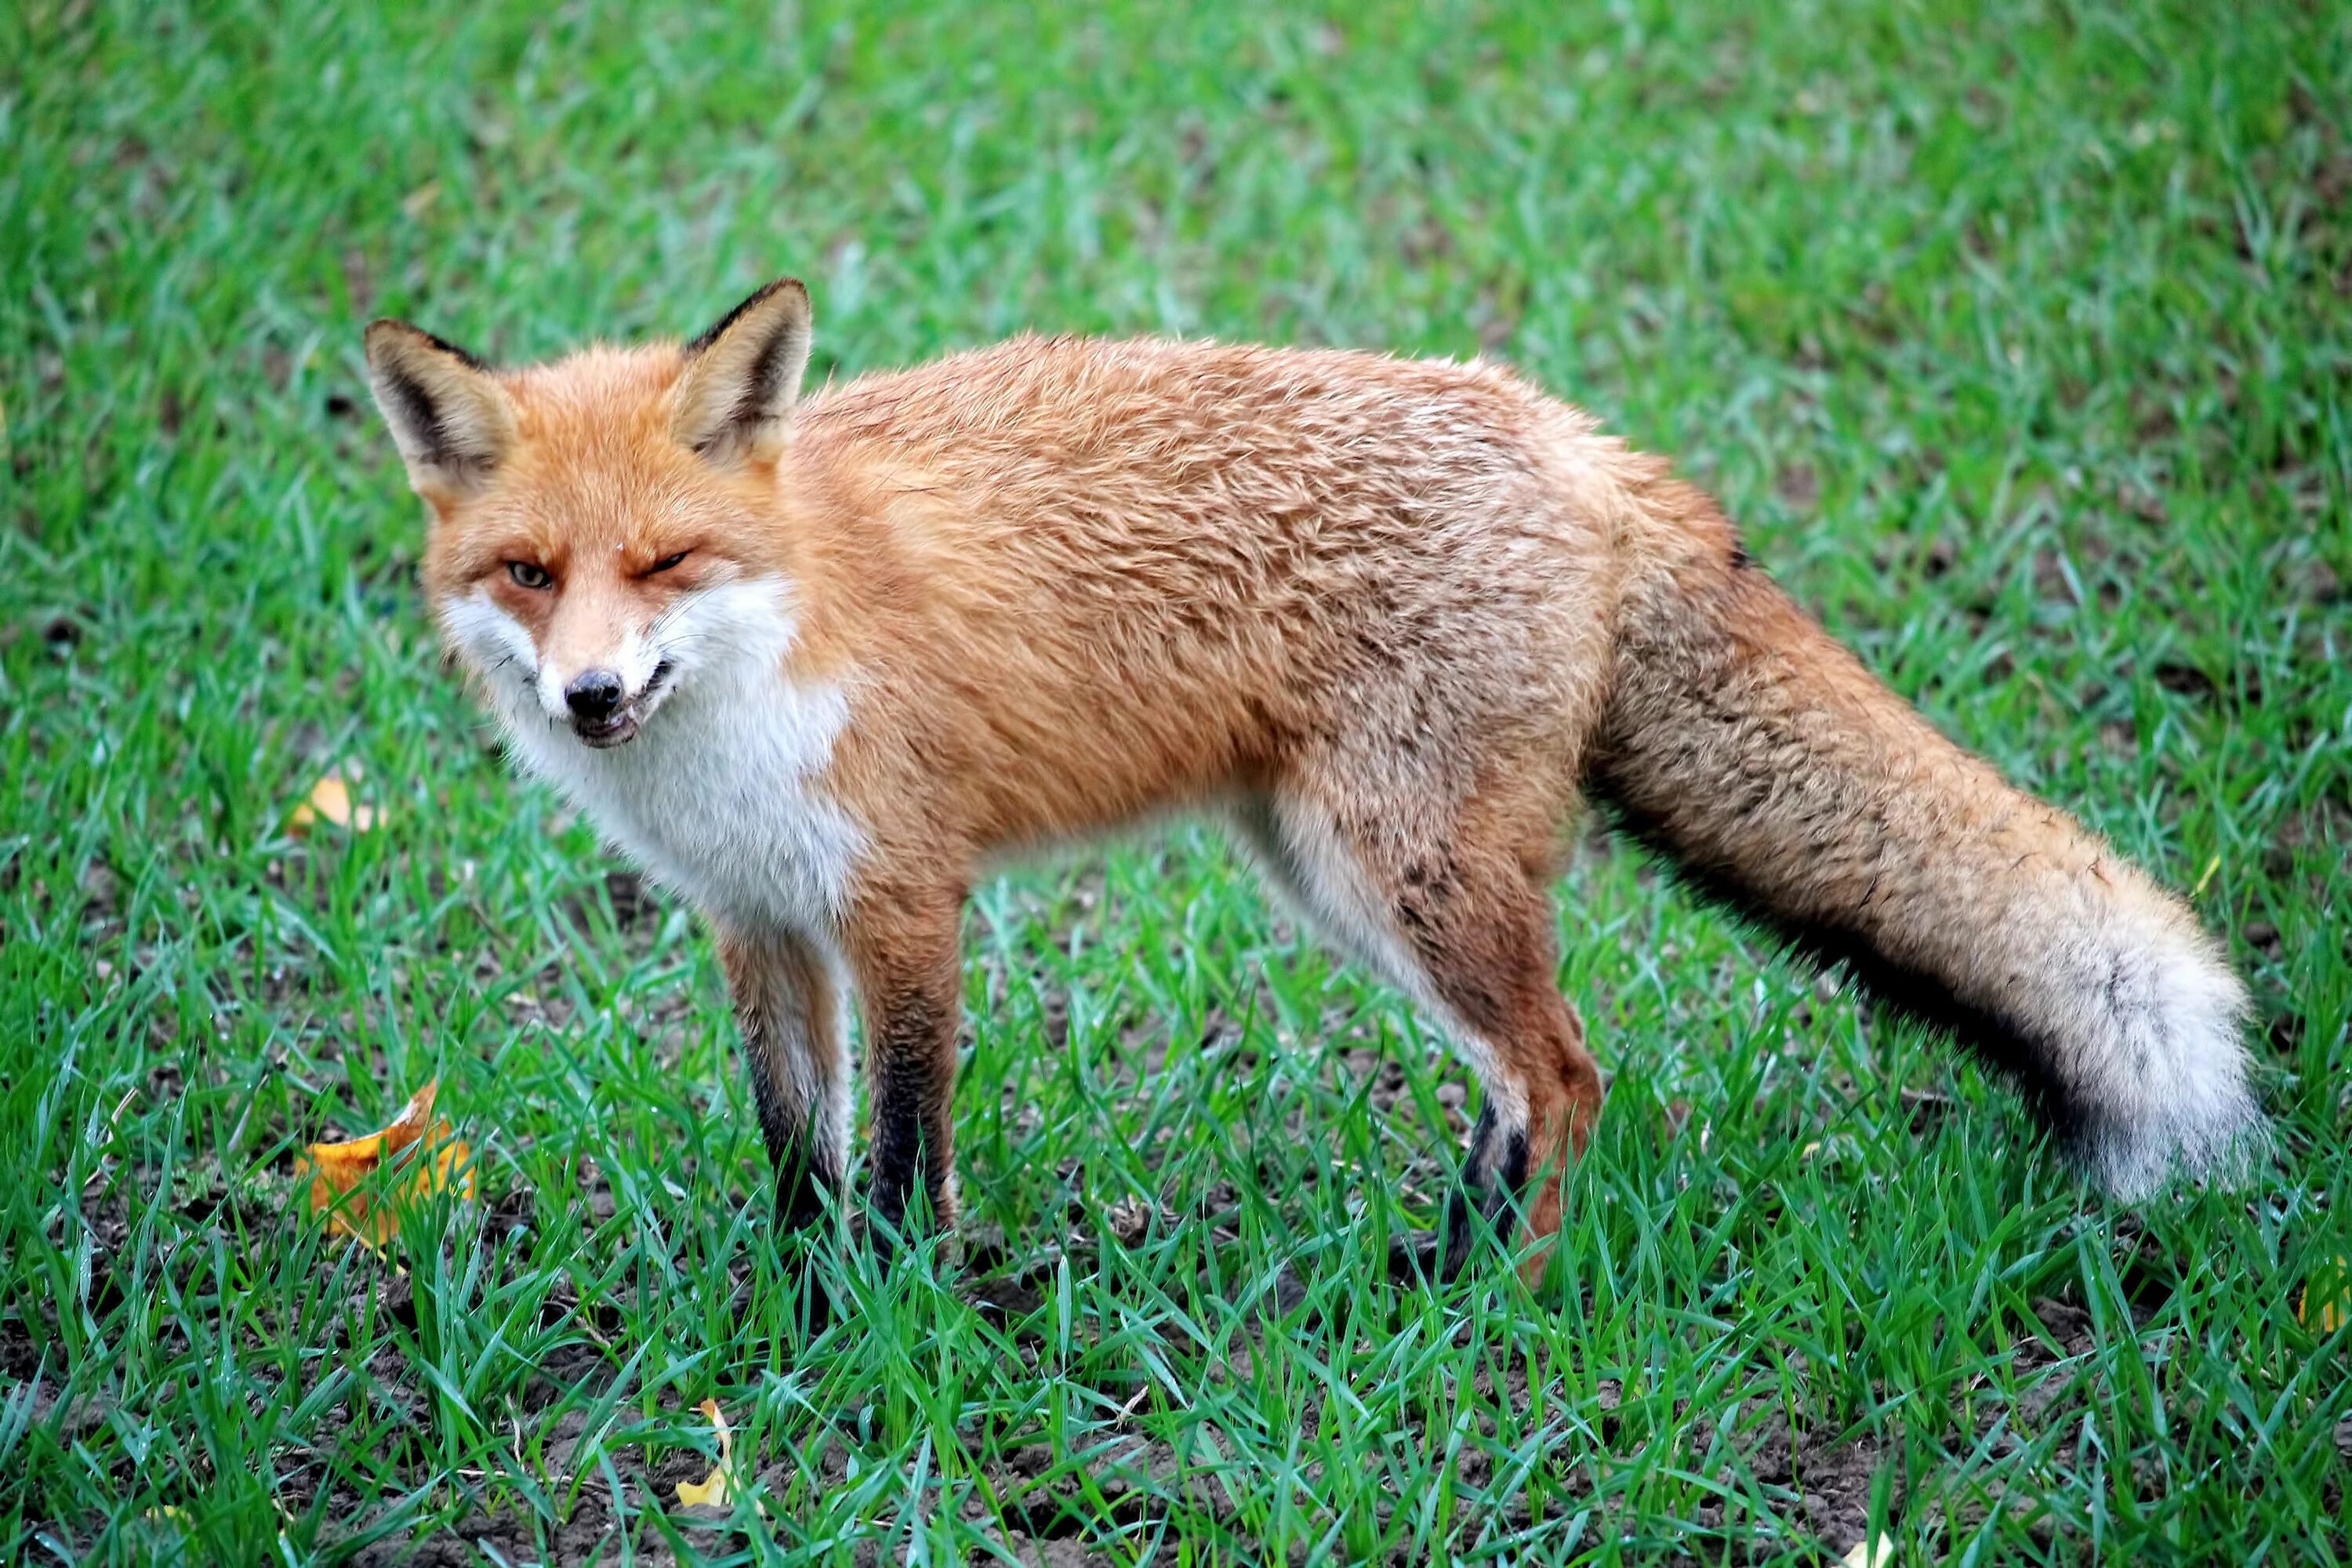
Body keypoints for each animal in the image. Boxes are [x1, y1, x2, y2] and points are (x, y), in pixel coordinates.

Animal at [362, 281, 2258, 1279]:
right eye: (529, 574)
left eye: (666, 562)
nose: (592, 695)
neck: (757, 673)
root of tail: (1574, 434)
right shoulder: (760, 920)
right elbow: (793, 1146)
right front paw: (801, 1310)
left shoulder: (904, 900)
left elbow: (902, 1149)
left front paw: (901, 1318)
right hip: (1341, 878)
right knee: (1515, 1079)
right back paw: (1445, 1255)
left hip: (1397, 870)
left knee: (1569, 1070)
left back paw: (1509, 1296)